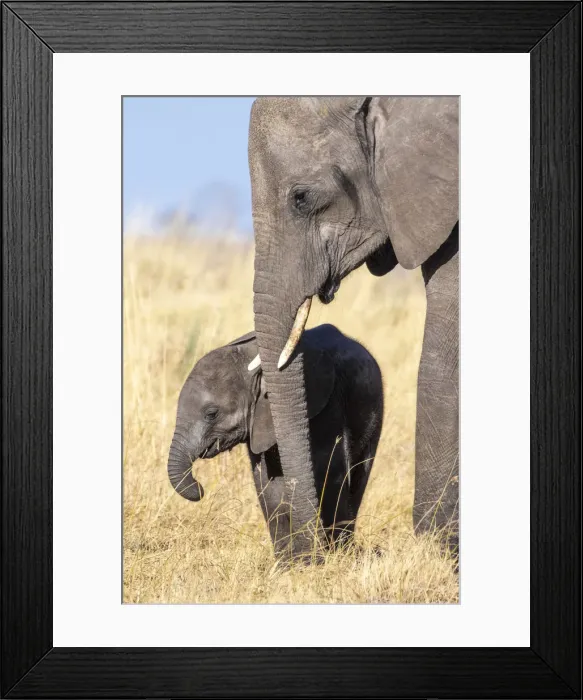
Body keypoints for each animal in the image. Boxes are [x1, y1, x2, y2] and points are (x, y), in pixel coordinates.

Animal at [167, 324, 383, 558]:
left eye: (211, 414)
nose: (200, 488)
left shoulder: (326, 406)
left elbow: (329, 471)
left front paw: (332, 556)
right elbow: (267, 483)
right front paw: (286, 561)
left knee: (359, 474)